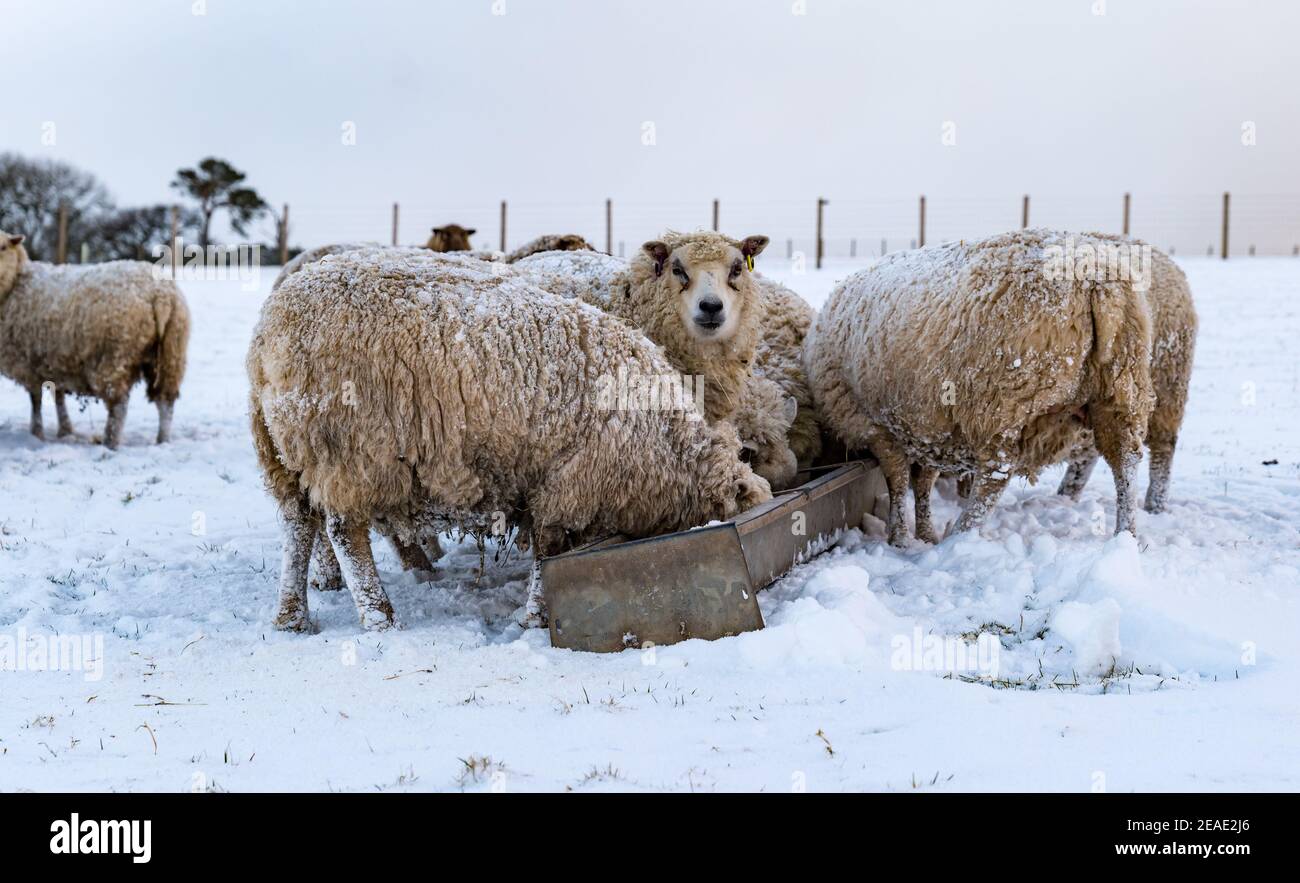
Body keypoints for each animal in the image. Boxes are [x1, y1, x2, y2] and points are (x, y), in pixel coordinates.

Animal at [0, 231, 189, 449]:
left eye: (3, 247)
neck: (14, 285)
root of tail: (160, 295)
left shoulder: (28, 364)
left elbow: (36, 400)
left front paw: (37, 433)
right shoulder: (55, 361)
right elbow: (58, 397)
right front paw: (65, 431)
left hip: (116, 355)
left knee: (119, 404)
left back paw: (110, 441)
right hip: (170, 353)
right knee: (165, 400)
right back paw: (162, 440)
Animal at [248, 245, 764, 632]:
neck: (668, 443)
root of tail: (271, 326)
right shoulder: (571, 482)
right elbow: (550, 552)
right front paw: (533, 616)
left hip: (285, 450)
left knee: (298, 524)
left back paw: (292, 617)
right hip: (350, 449)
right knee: (343, 532)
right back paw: (379, 617)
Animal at [811, 227, 1159, 546]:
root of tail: (1097, 279)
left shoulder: (874, 424)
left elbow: (896, 480)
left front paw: (900, 538)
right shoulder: (925, 429)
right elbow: (922, 481)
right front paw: (924, 534)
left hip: (1002, 400)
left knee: (996, 472)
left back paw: (962, 534)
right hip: (1121, 388)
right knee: (1125, 460)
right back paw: (1127, 536)